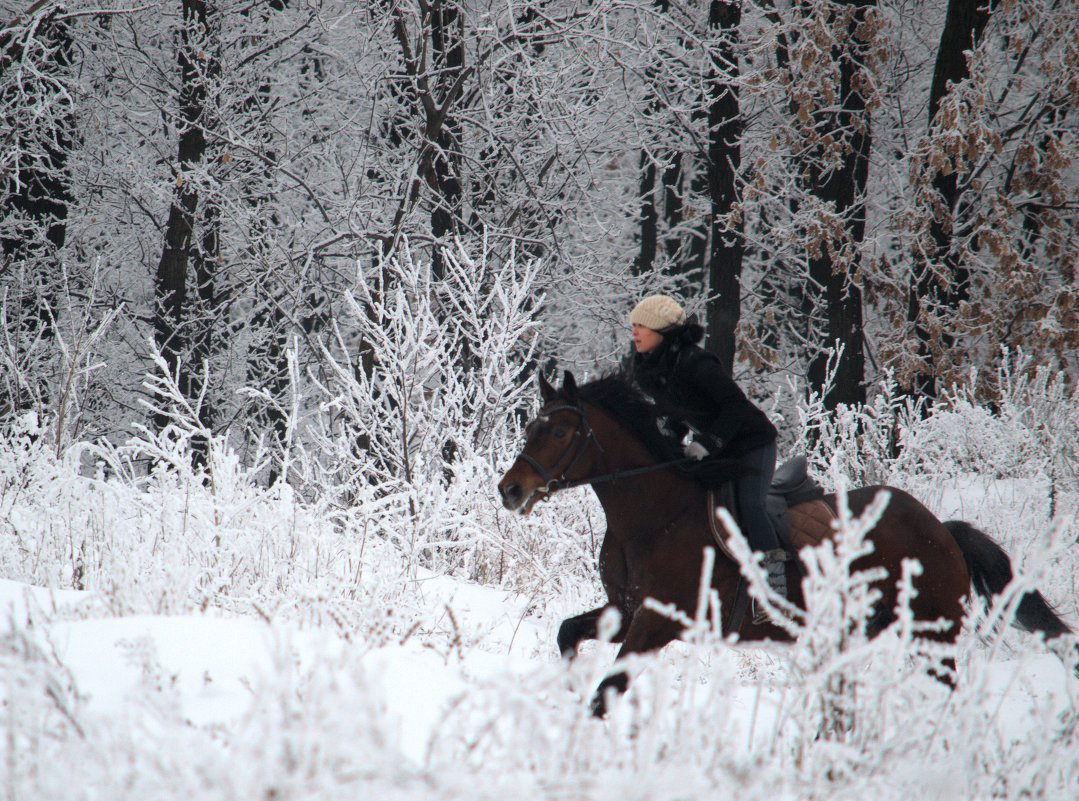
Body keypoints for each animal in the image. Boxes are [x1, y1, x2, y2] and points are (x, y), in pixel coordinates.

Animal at [496, 373, 1070, 716]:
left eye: (561, 431)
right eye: (532, 426)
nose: (510, 490)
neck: (655, 516)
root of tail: (942, 530)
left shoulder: (658, 622)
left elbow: (604, 692)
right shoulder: (627, 609)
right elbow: (568, 633)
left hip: (934, 634)